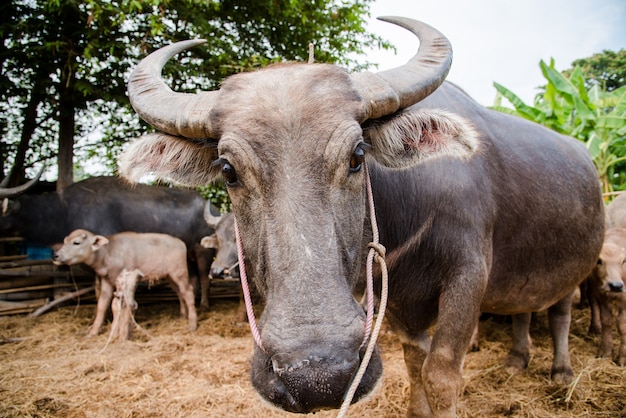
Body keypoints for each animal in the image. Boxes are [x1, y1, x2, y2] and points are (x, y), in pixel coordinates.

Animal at [0, 175, 218, 308]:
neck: (64, 210)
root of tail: (213, 208)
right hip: (188, 254)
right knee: (193, 279)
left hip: (203, 251)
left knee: (204, 277)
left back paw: (205, 305)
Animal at [114, 16, 604, 418]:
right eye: (229, 170)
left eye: (357, 155)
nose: (317, 376)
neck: (415, 215)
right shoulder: (398, 299)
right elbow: (414, 363)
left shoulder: (469, 277)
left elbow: (441, 374)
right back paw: (517, 359)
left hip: (574, 269)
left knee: (559, 313)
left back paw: (561, 371)